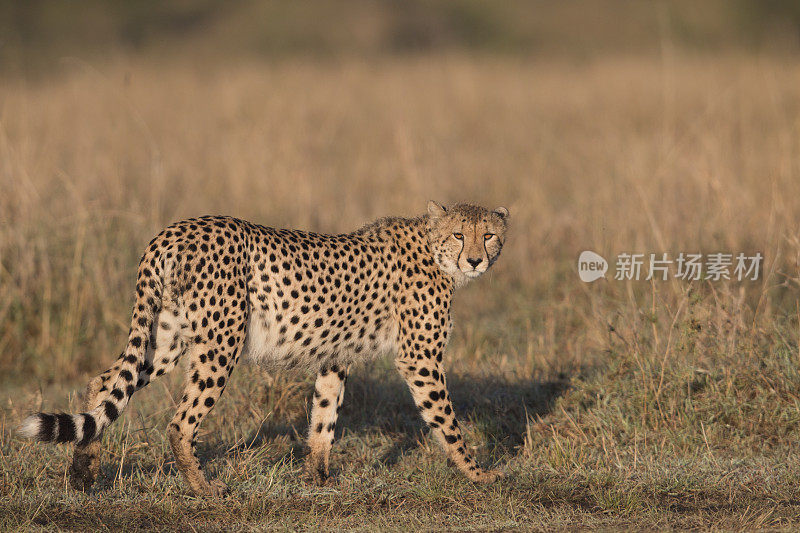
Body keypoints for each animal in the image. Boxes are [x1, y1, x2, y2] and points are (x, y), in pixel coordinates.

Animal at [18, 200, 510, 494]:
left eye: (488, 235)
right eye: (460, 235)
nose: (475, 260)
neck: (435, 251)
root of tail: (174, 229)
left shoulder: (335, 358)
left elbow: (324, 417)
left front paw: (318, 478)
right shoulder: (420, 360)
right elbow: (446, 422)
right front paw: (480, 474)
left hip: (166, 337)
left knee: (104, 383)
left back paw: (83, 473)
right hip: (220, 342)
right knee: (179, 420)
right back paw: (203, 489)